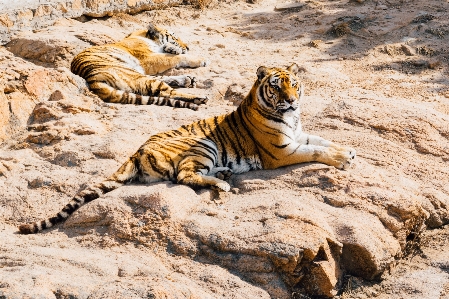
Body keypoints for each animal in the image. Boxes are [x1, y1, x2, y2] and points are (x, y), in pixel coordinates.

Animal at [19, 63, 356, 236]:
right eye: (276, 86)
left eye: (294, 84)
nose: (291, 100)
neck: (290, 117)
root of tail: (135, 151)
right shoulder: (282, 151)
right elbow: (316, 152)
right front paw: (343, 158)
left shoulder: (299, 134)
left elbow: (323, 141)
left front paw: (348, 150)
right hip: (203, 144)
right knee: (184, 175)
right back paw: (223, 183)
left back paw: (223, 175)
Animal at [70, 23, 210, 110]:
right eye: (175, 37)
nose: (188, 47)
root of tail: (91, 79)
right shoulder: (147, 59)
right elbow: (176, 58)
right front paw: (201, 59)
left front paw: (172, 48)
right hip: (134, 74)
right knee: (167, 92)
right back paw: (199, 97)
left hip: (137, 74)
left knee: (161, 82)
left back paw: (188, 79)